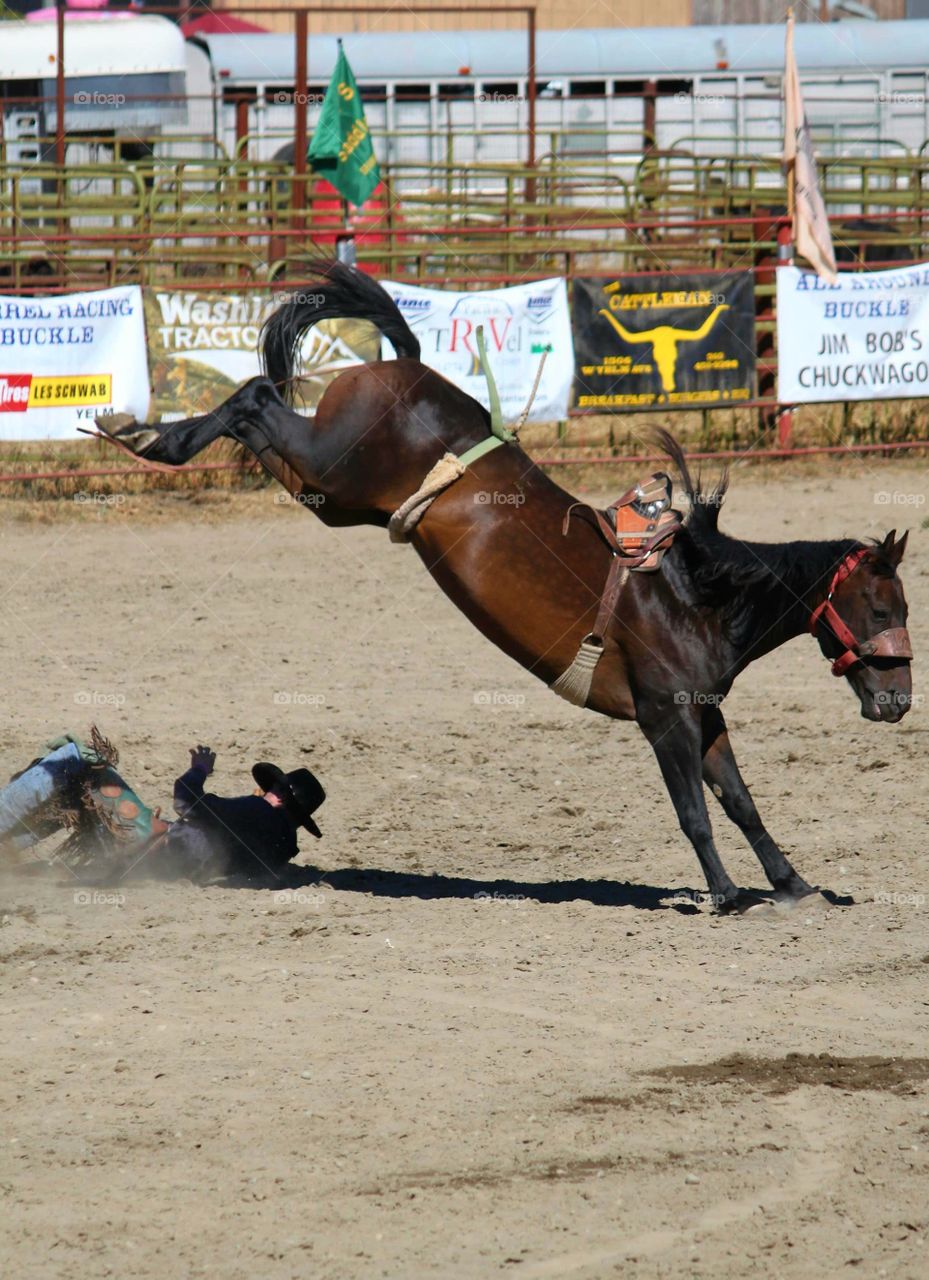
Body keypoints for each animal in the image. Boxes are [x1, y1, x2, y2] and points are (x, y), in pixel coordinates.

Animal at [94, 264, 916, 916]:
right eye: (880, 606)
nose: (898, 701)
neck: (693, 596)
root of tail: (405, 367)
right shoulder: (664, 720)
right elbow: (695, 813)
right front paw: (724, 895)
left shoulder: (703, 714)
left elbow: (740, 802)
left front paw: (792, 885)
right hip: (334, 466)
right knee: (257, 398)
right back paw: (146, 436)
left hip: (330, 494)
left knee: (262, 420)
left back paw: (143, 434)